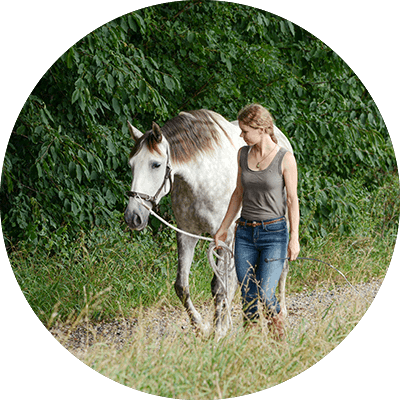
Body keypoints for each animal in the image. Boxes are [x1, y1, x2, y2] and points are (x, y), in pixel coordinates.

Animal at [123, 109, 292, 338]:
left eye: (155, 164)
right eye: (131, 165)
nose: (133, 217)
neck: (200, 177)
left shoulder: (222, 237)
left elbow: (219, 287)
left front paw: (217, 331)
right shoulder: (187, 234)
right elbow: (182, 285)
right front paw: (201, 326)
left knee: (280, 270)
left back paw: (280, 313)